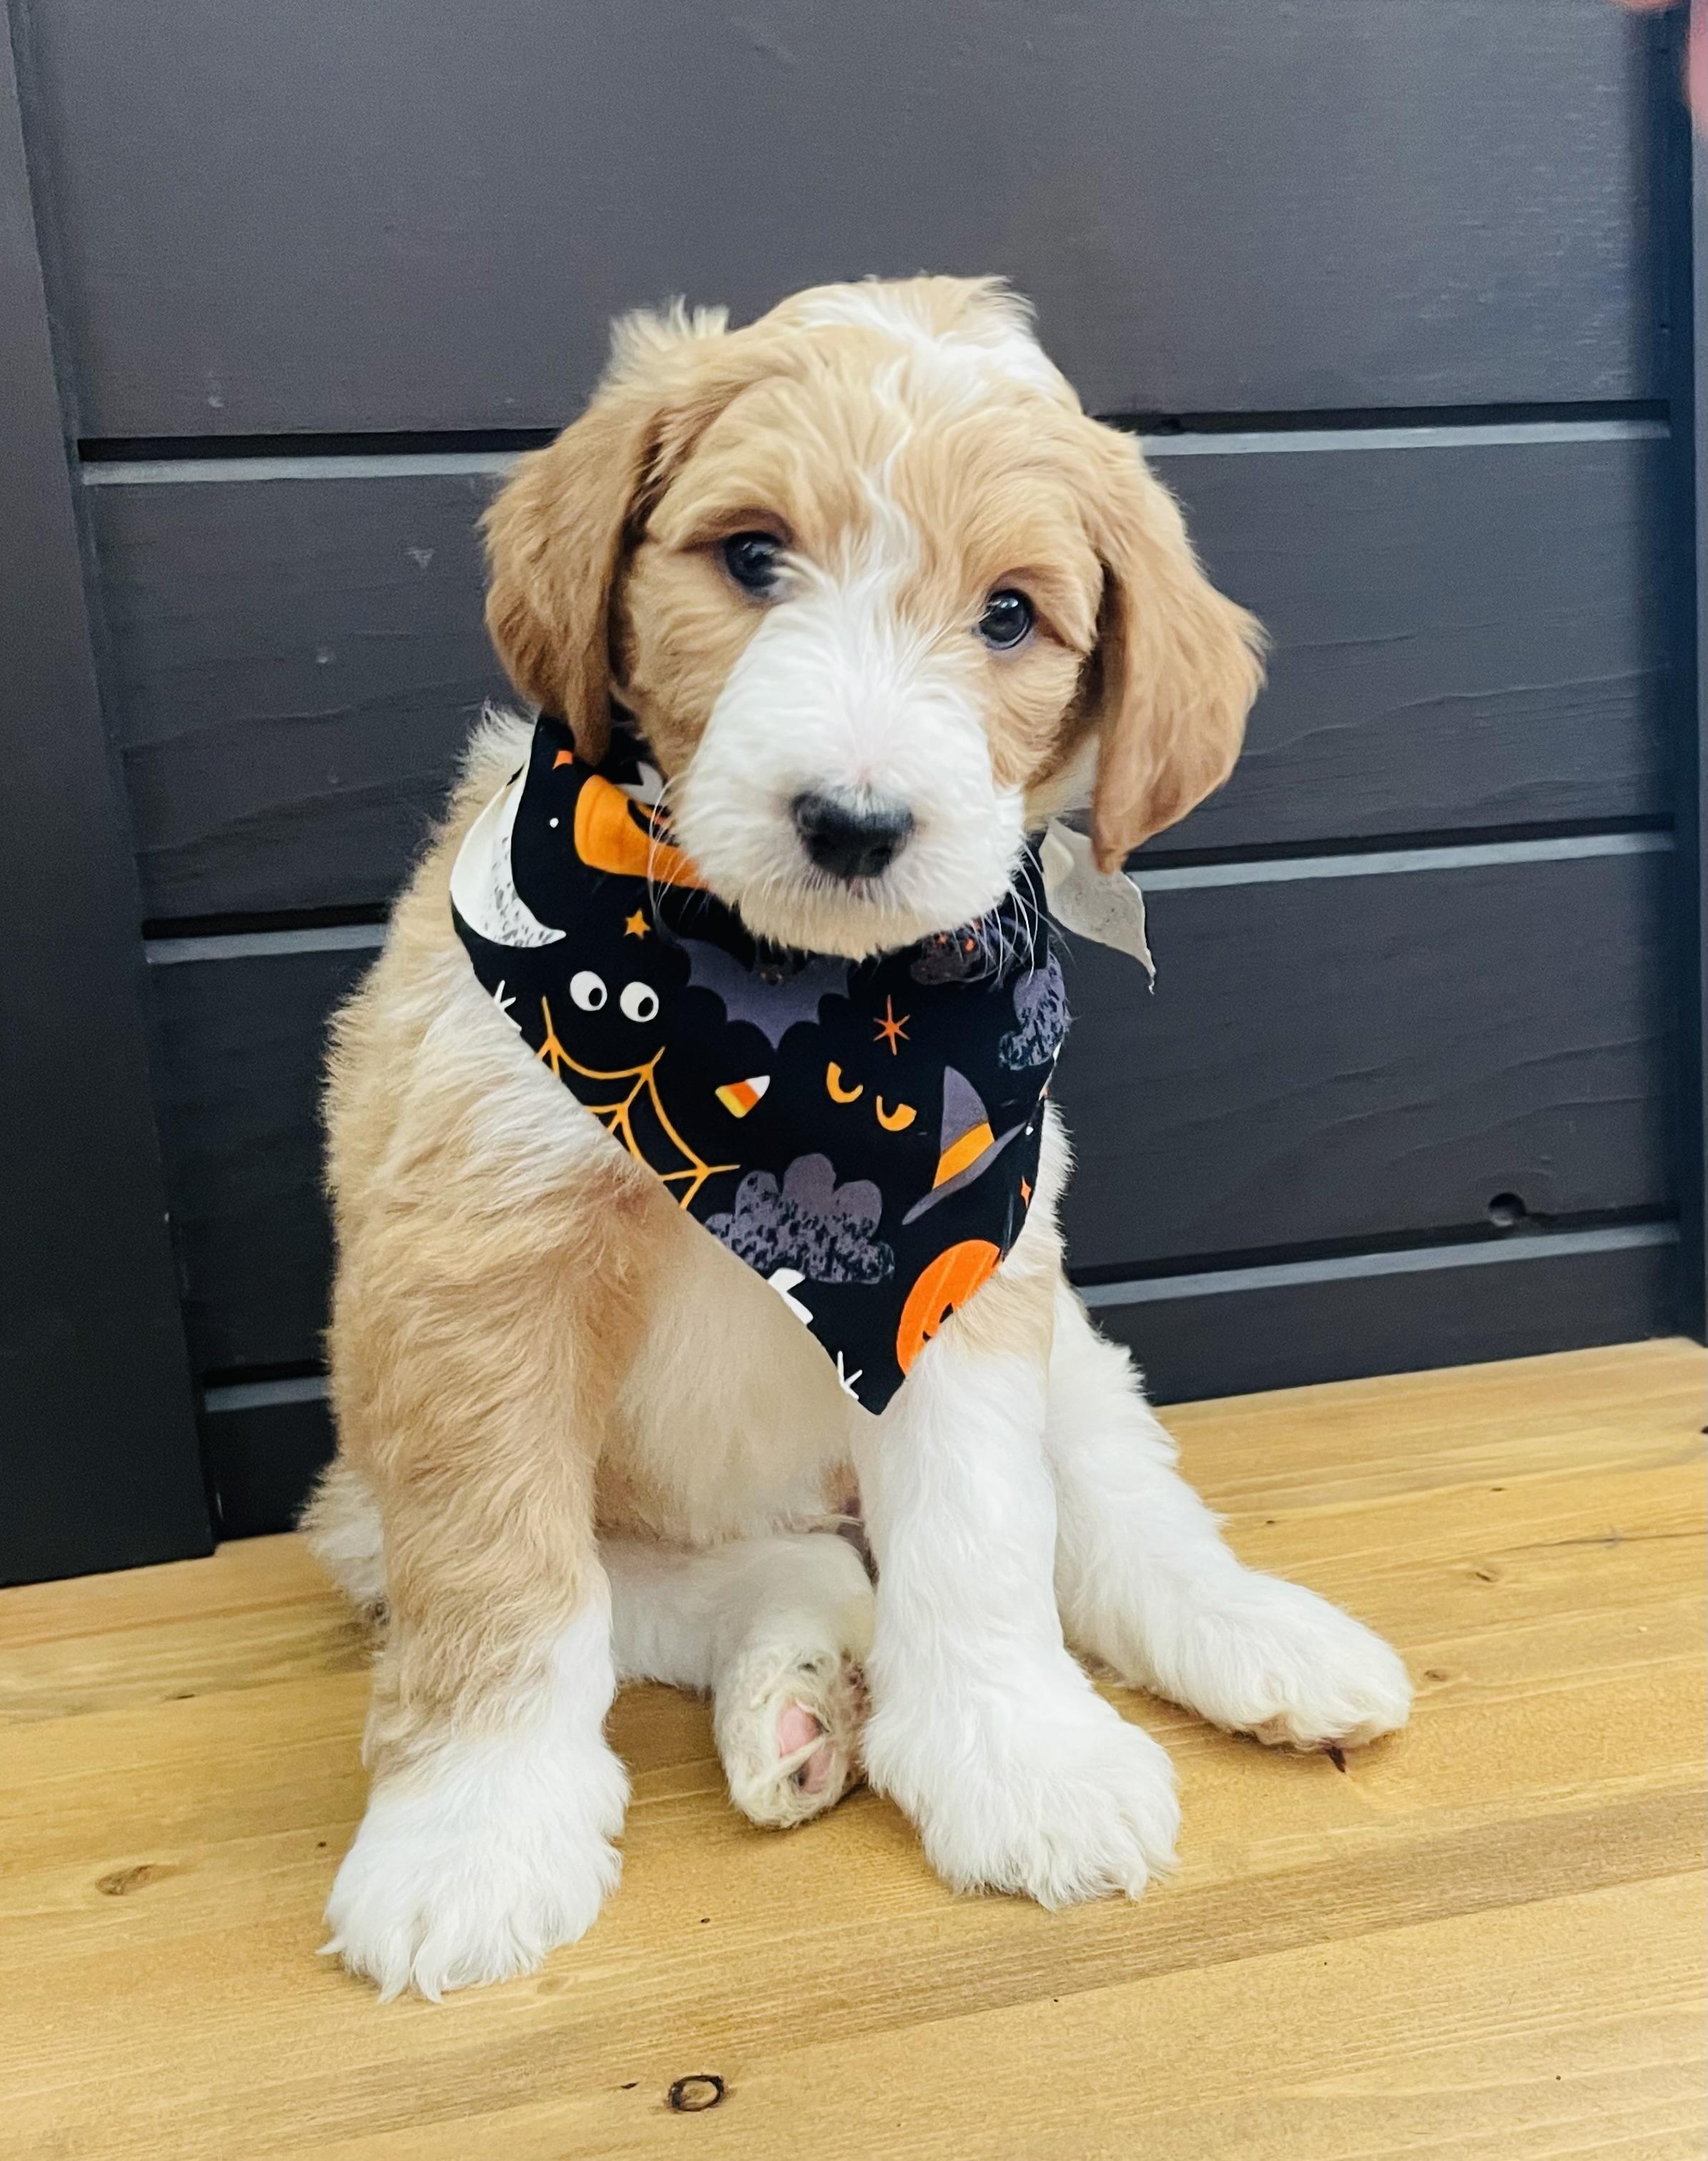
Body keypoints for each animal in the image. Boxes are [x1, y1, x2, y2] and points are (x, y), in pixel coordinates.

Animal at [302, 276, 1412, 2000]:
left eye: (1010, 615)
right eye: (753, 557)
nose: (854, 820)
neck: (778, 1017)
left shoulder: (952, 1271)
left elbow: (980, 1530)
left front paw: (1018, 1759)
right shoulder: (469, 1277)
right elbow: (500, 1574)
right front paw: (469, 1840)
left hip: (1068, 1346)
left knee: (1117, 1514)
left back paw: (1251, 1639)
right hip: (369, 1510)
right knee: (715, 1581)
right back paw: (796, 1684)